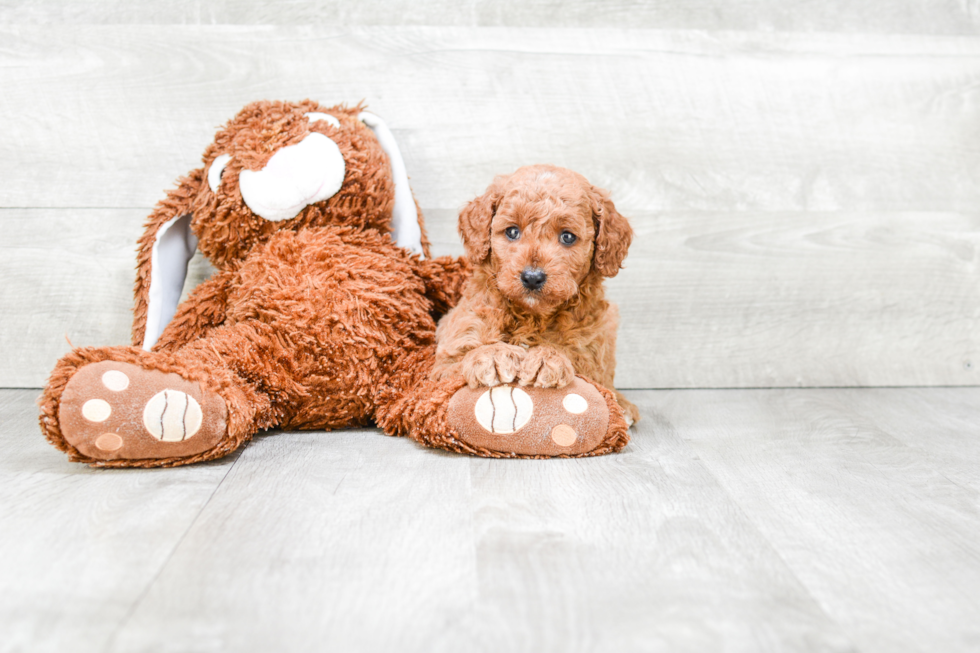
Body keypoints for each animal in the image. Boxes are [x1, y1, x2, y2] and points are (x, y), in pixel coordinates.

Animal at [432, 166, 640, 426]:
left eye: (567, 237)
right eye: (512, 231)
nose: (532, 277)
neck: (531, 316)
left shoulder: (593, 356)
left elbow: (576, 360)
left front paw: (546, 358)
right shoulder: (445, 361)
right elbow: (461, 359)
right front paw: (494, 355)